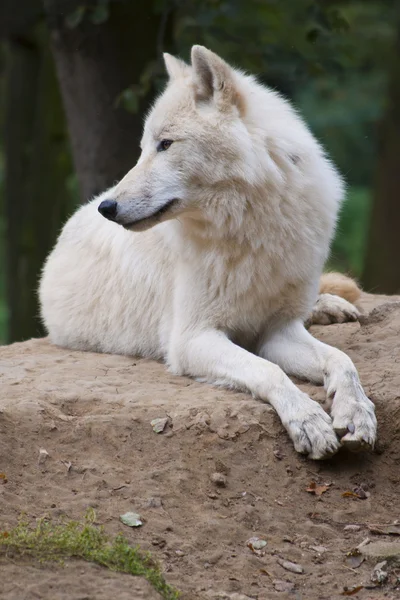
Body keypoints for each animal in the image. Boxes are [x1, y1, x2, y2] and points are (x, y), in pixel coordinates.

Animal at [39, 45, 376, 460]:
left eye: (165, 144)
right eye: (143, 148)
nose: (108, 207)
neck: (252, 229)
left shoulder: (278, 330)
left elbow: (342, 361)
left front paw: (357, 413)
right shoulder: (192, 339)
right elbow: (269, 371)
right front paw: (309, 422)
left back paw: (329, 306)